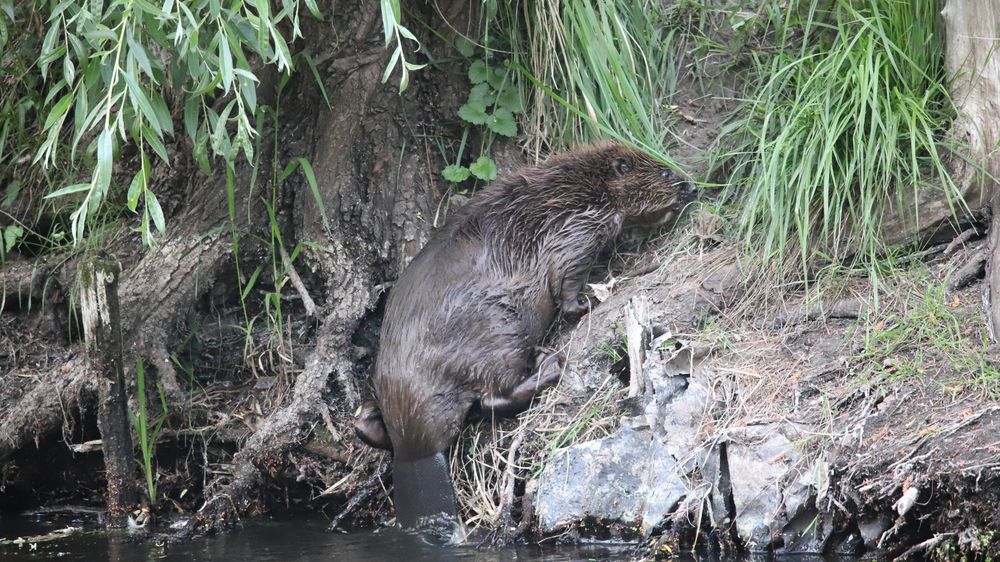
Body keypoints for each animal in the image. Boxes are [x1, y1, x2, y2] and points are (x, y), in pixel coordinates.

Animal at [354, 139, 696, 524]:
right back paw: (548, 364)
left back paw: (365, 421)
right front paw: (587, 302)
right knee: (491, 396)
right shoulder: (579, 229)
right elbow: (567, 276)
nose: (692, 187)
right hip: (502, 332)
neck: (583, 188)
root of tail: (418, 453)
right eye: (664, 172)